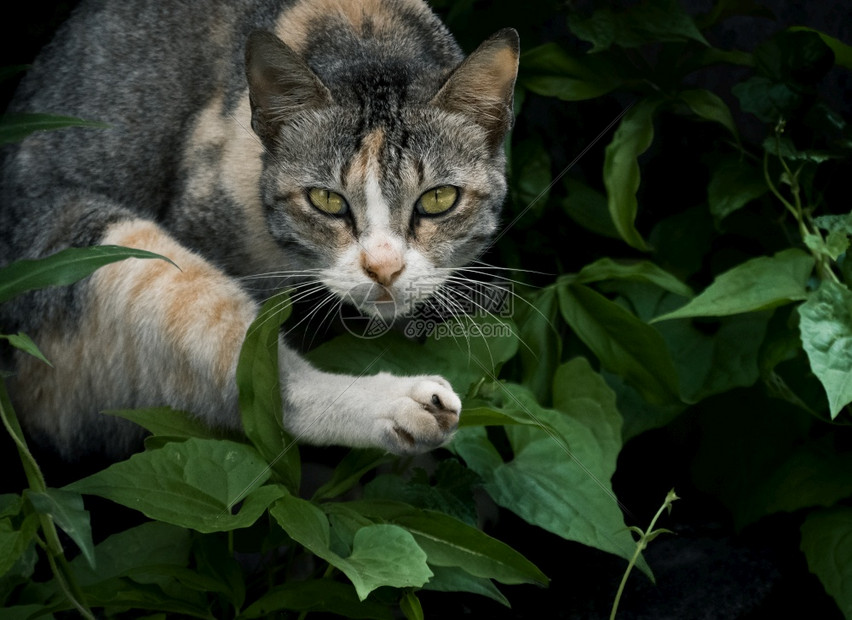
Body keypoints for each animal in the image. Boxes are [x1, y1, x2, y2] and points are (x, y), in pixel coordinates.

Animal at [0, 0, 520, 460]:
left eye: (438, 199)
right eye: (326, 200)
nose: (383, 268)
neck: (371, 37)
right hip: (93, 249)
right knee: (263, 385)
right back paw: (404, 407)